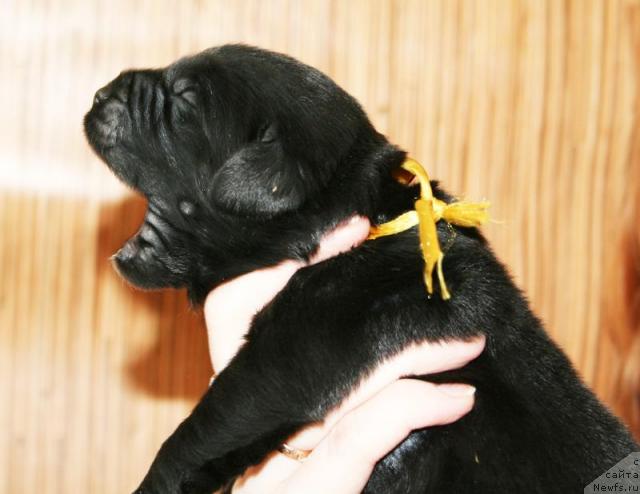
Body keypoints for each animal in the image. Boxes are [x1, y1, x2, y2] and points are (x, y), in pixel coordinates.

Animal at [84, 44, 636, 492]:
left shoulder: (298, 341)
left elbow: (211, 422)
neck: (360, 215)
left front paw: (156, 483)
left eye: (183, 100)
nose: (97, 94)